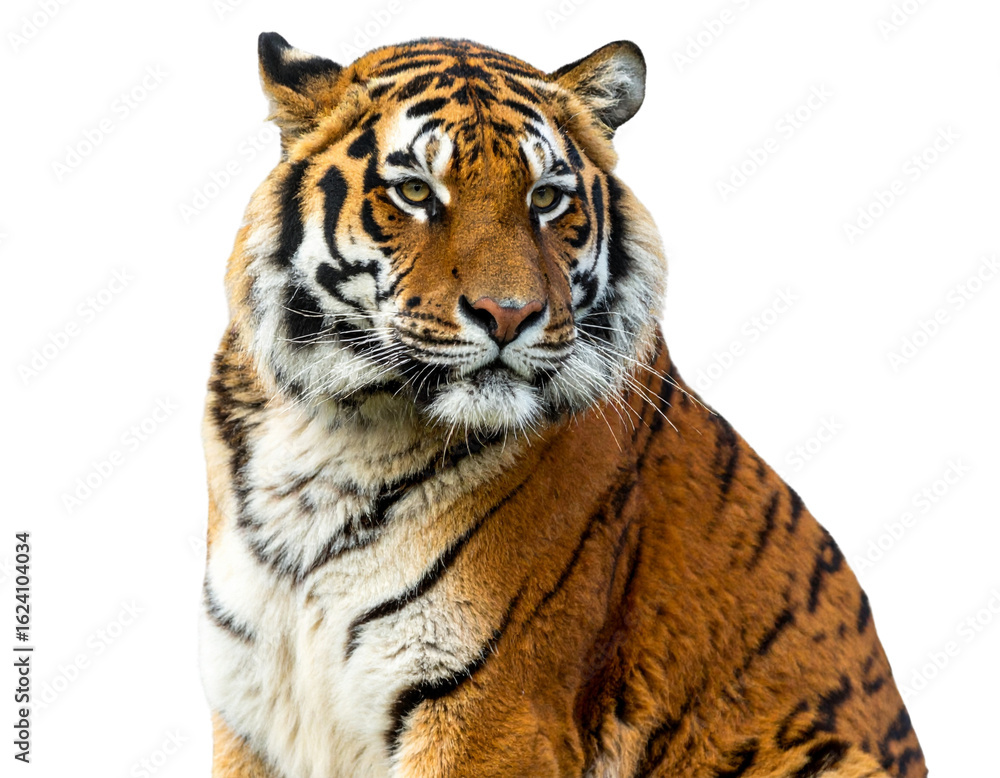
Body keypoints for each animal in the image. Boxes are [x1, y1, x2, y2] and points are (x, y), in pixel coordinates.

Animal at [199, 31, 927, 778]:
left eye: (546, 198)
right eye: (414, 192)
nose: (508, 313)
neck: (333, 430)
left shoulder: (494, 714)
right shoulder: (251, 711)